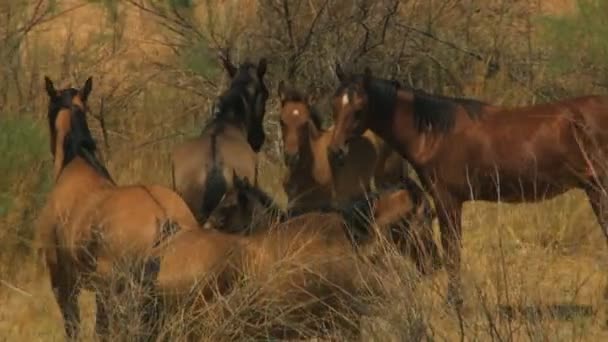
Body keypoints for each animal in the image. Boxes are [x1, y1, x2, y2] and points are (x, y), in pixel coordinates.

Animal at [328, 62, 608, 310]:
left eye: (359, 109)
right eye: (334, 104)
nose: (335, 151)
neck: (435, 134)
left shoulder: (448, 200)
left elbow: (452, 251)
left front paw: (453, 302)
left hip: (598, 190)